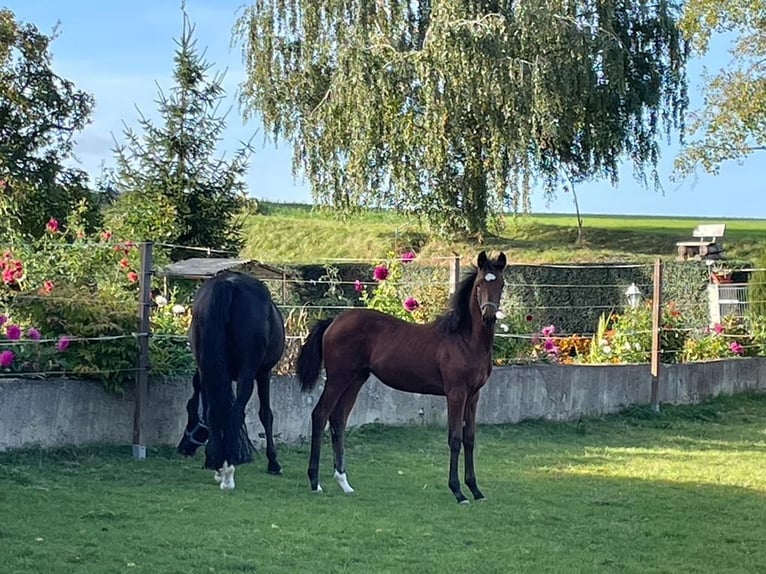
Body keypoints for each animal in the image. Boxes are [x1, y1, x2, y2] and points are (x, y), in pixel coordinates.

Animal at [178, 272, 286, 488]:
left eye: (189, 410)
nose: (183, 448)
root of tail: (227, 285)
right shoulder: (264, 373)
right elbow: (266, 414)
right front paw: (273, 463)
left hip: (209, 368)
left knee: (214, 413)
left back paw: (218, 463)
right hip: (248, 373)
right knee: (236, 413)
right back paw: (229, 469)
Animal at [296, 252, 508, 504]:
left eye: (501, 284)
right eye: (480, 284)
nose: (488, 315)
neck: (465, 340)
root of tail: (334, 321)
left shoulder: (473, 395)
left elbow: (470, 438)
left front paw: (475, 489)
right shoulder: (456, 393)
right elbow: (455, 438)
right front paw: (458, 491)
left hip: (356, 379)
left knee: (338, 419)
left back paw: (344, 483)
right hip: (338, 378)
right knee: (320, 415)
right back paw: (314, 482)